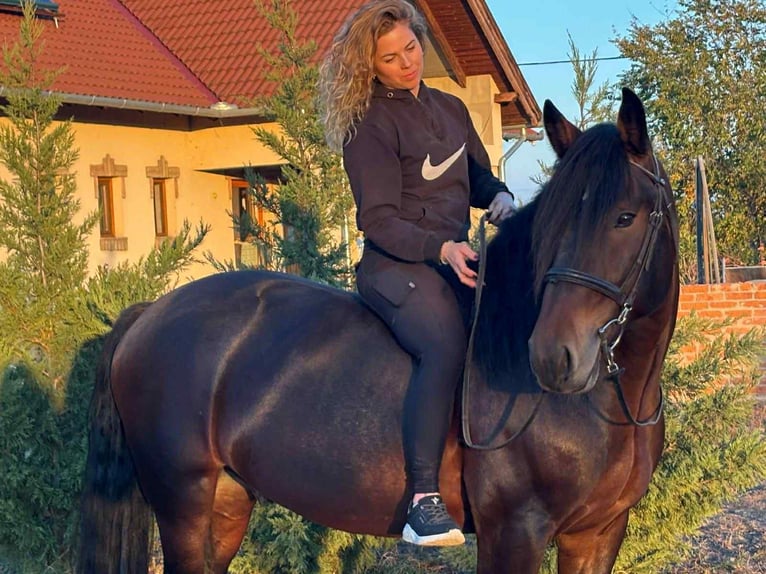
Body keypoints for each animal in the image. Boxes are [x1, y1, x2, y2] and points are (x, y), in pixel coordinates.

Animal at [78, 87, 679, 574]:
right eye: (553, 223)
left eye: (625, 217)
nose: (554, 357)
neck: (609, 400)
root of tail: (148, 313)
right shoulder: (515, 532)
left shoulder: (597, 533)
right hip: (183, 499)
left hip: (226, 502)